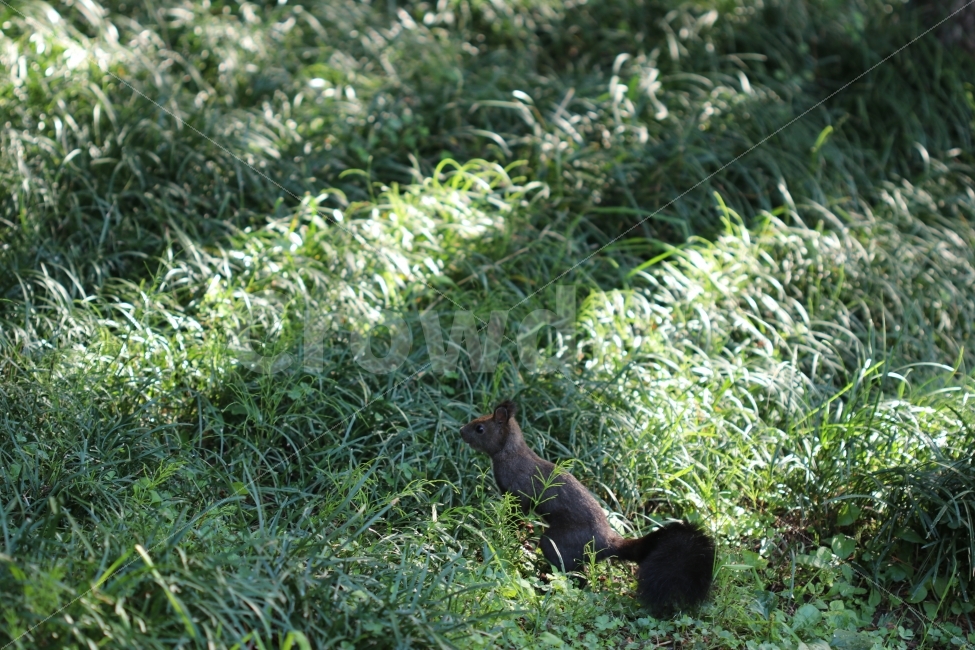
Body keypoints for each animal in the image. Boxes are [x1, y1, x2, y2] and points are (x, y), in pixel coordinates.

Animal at [460, 400, 715, 616]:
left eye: (480, 428)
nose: (461, 431)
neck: (510, 454)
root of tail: (607, 543)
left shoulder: (520, 491)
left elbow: (517, 511)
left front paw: (506, 527)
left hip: (558, 543)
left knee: (571, 573)